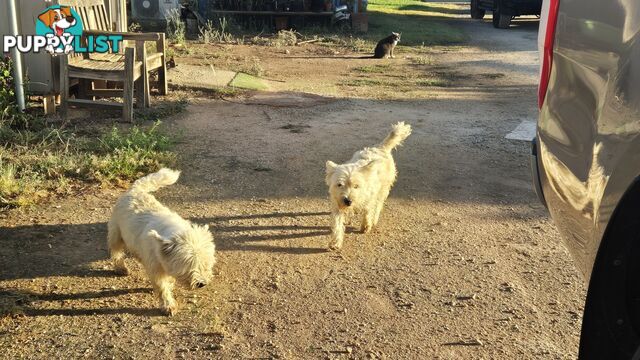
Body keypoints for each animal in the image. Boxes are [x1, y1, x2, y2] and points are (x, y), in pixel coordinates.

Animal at [105, 169, 215, 316]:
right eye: (189, 264)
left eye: (206, 263)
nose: (201, 283)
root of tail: (135, 189)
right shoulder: (155, 267)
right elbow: (162, 287)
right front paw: (169, 305)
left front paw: (171, 284)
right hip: (116, 232)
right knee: (116, 250)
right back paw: (120, 268)